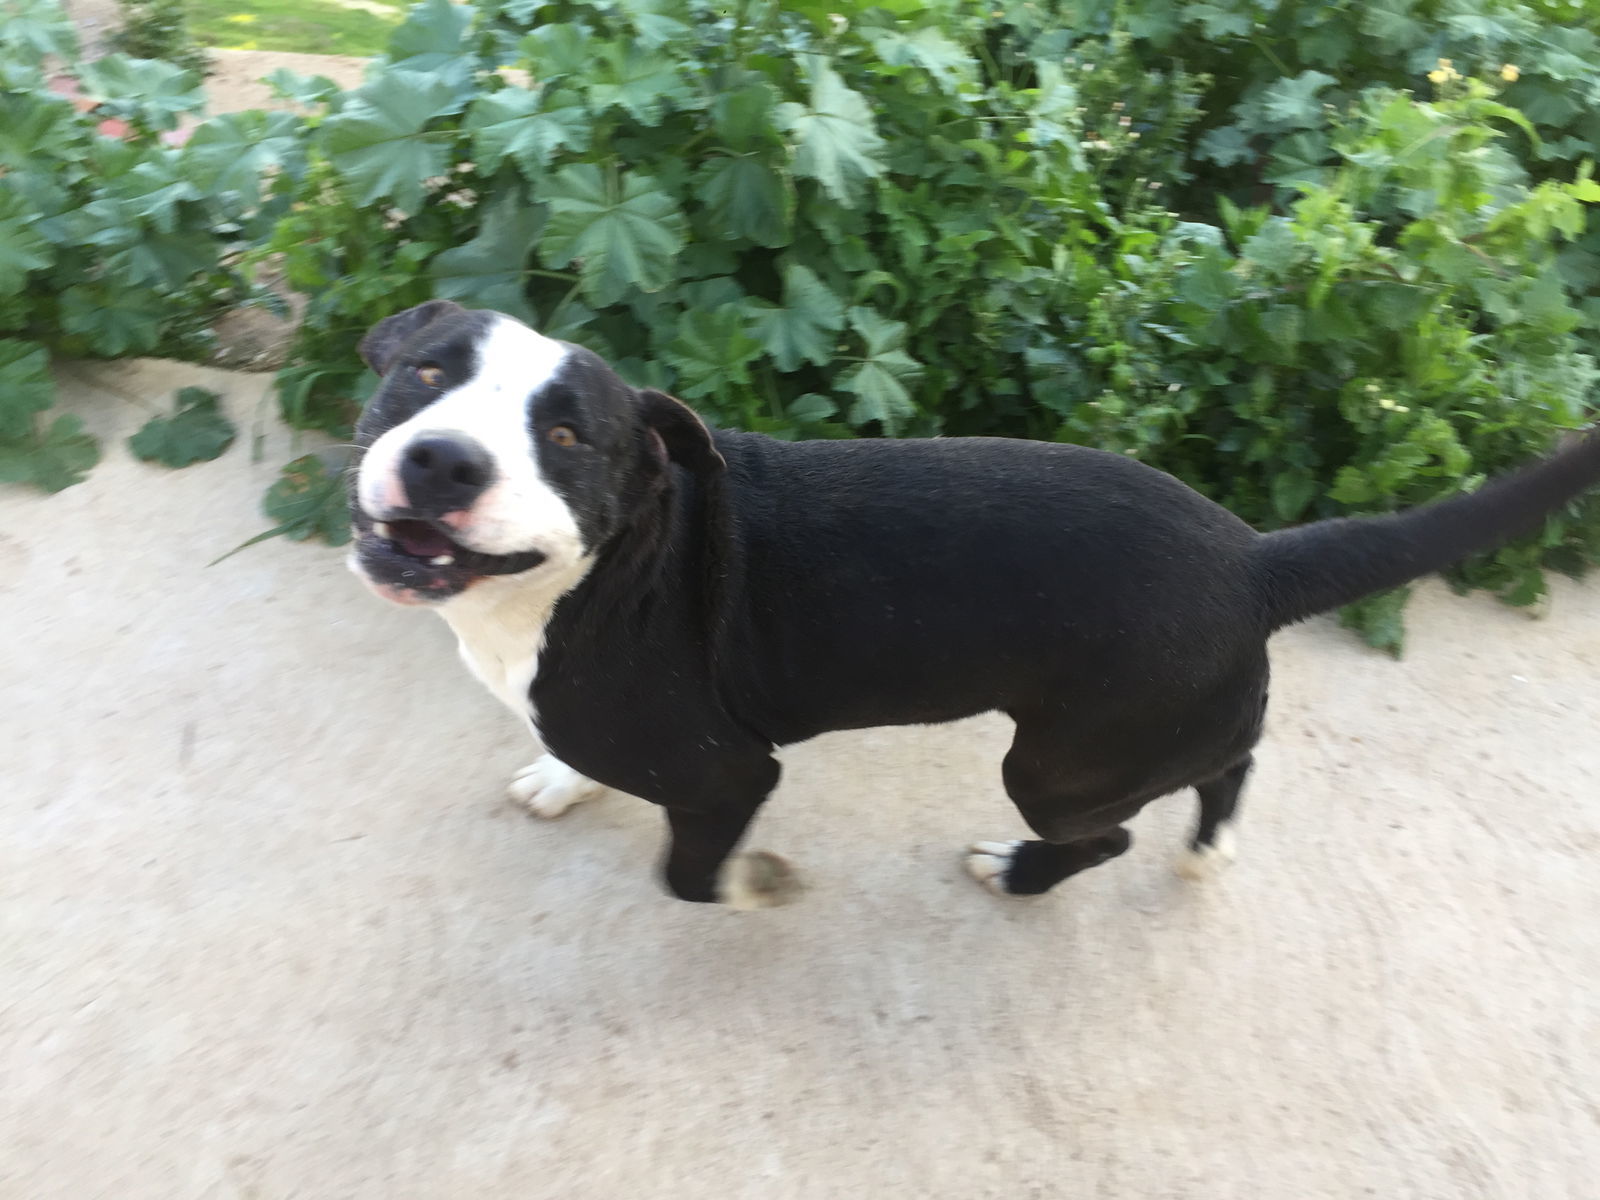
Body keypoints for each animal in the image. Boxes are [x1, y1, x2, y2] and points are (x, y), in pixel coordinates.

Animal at [347, 302, 1600, 908]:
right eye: (423, 374)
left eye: (566, 436)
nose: (445, 460)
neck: (602, 567)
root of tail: (1252, 558)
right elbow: (578, 758)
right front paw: (561, 778)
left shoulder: (728, 774)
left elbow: (689, 874)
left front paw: (752, 887)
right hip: (1172, 722)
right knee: (1228, 763)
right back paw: (1209, 848)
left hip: (1057, 765)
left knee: (1110, 829)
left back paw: (1026, 872)